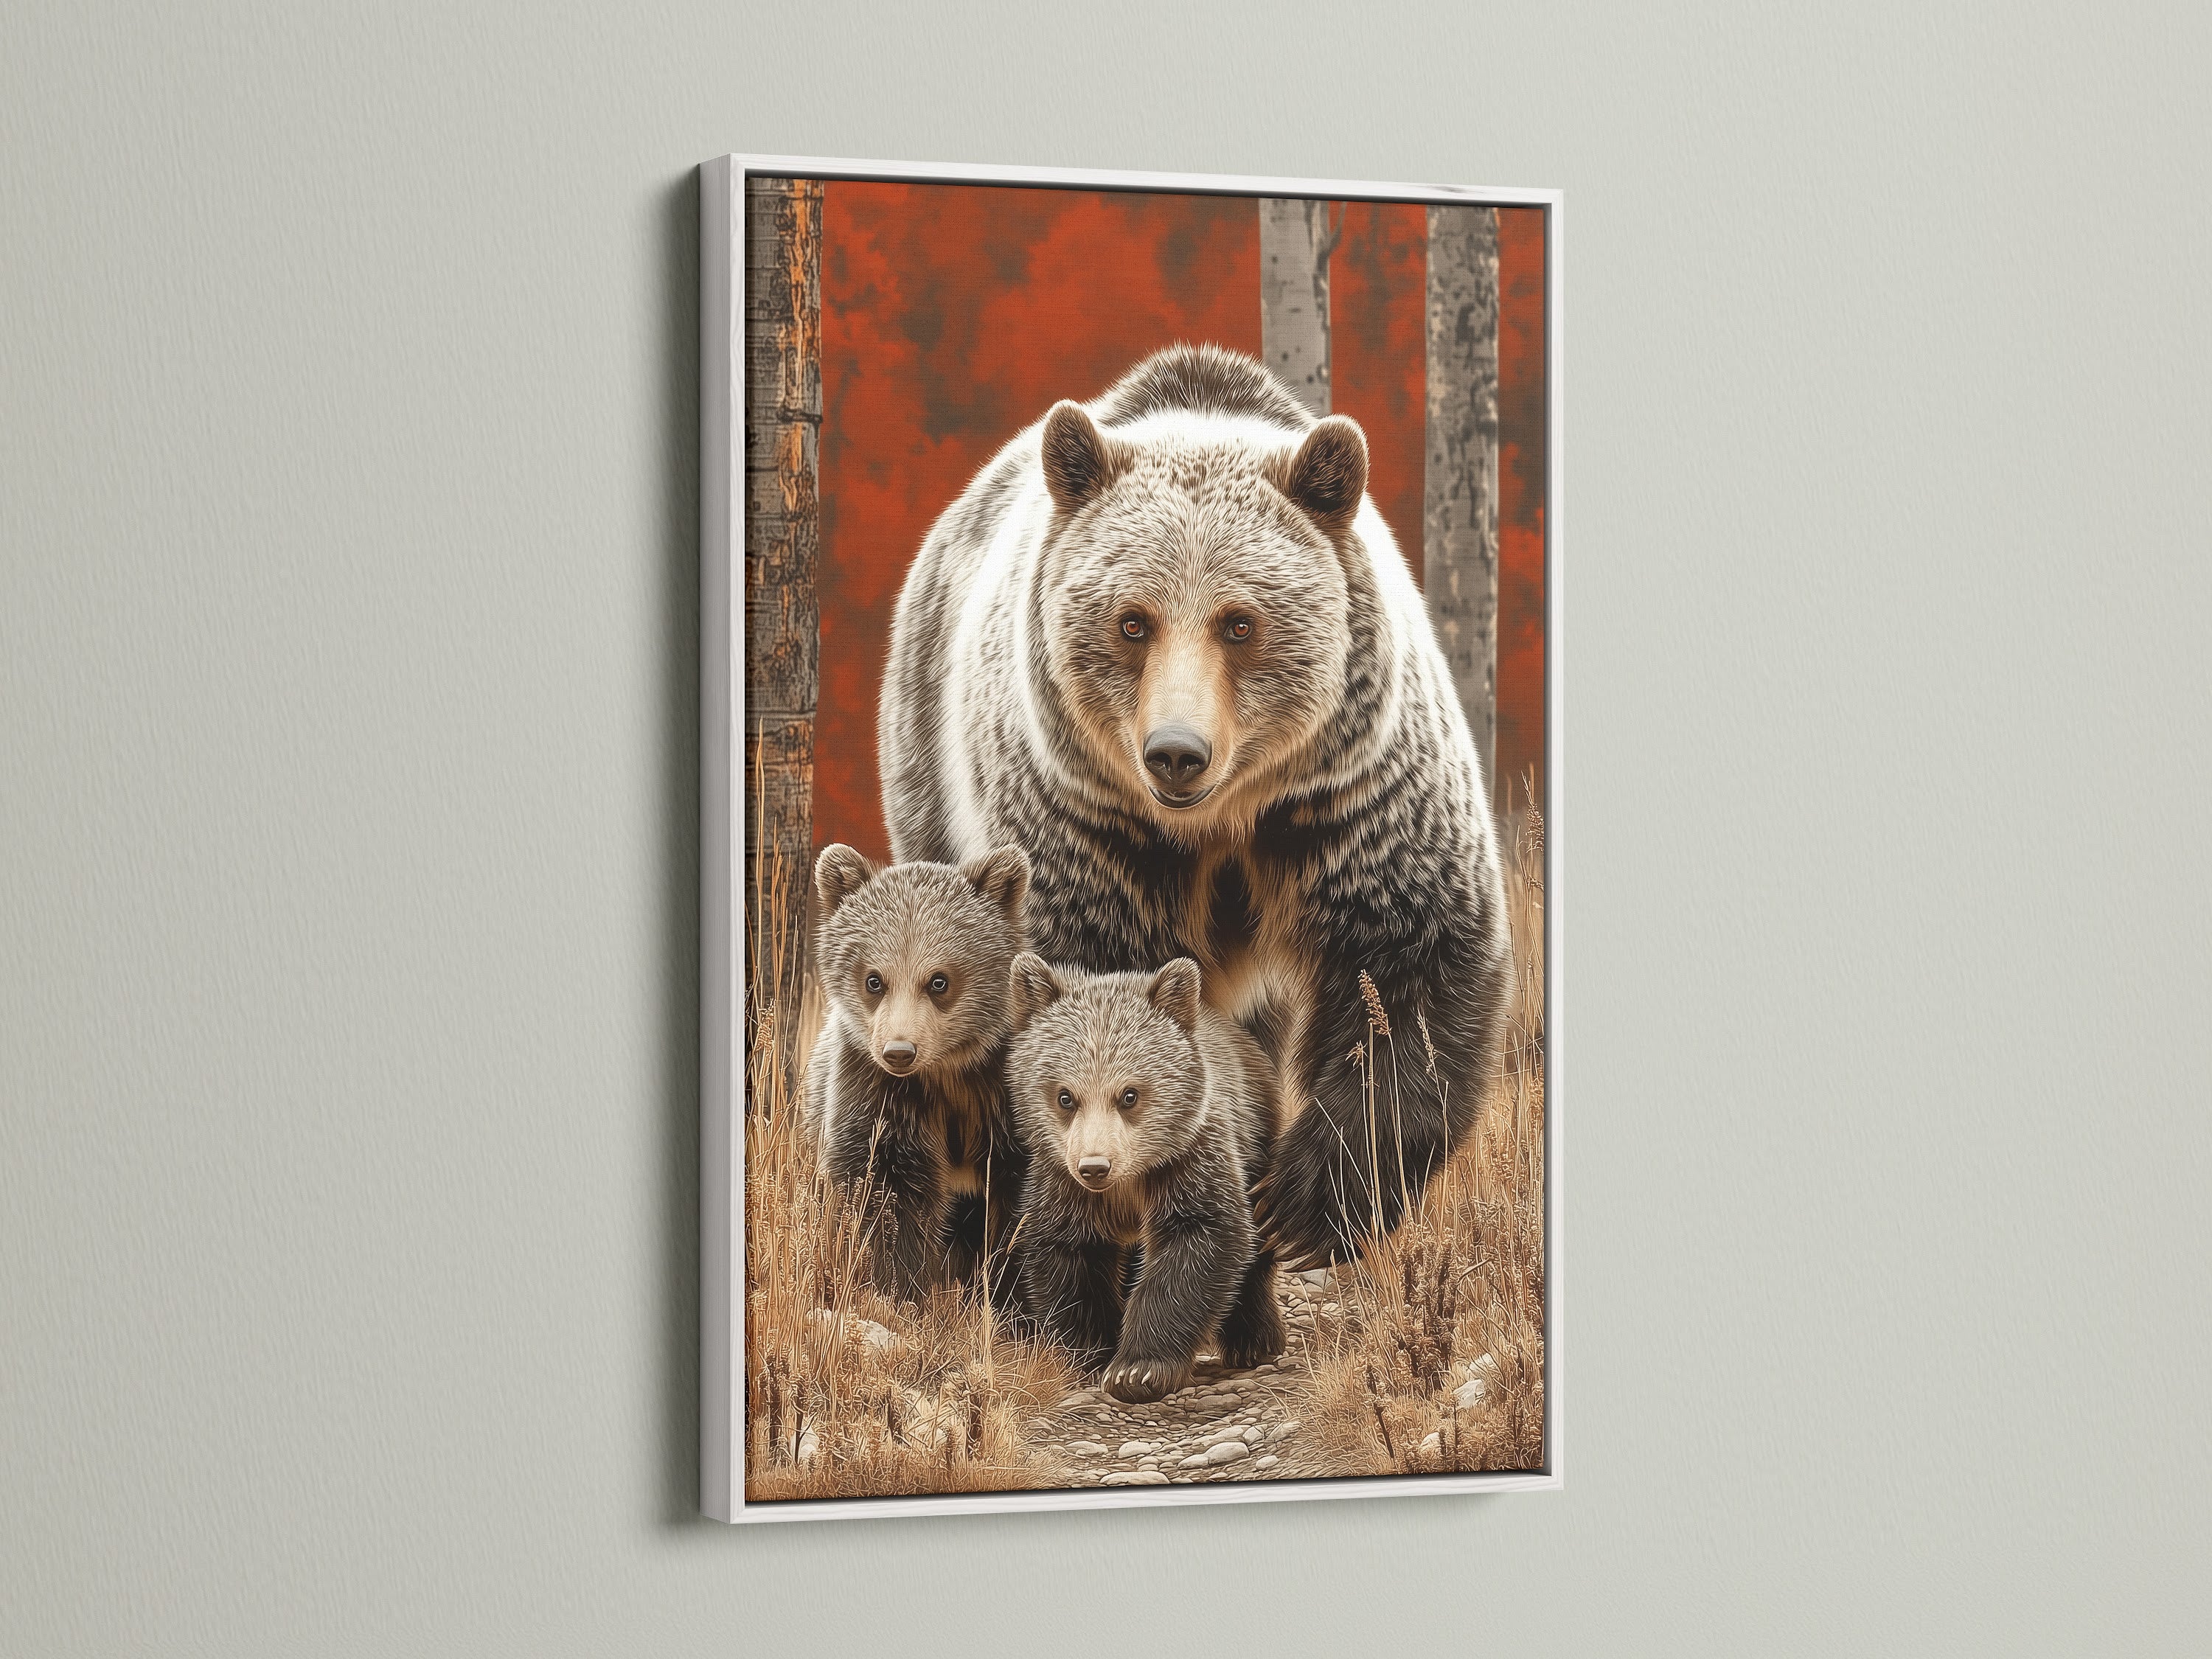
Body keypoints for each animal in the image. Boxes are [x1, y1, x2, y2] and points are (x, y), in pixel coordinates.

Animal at [804, 842, 1032, 1304]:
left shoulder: (1005, 1097)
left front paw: (1009, 1297)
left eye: (939, 981)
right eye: (874, 980)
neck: (947, 1072)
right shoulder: (877, 1093)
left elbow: (1019, 1209)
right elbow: (884, 1191)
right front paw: (900, 1288)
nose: (899, 1051)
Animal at [878, 342, 1513, 1269]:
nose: (1176, 752)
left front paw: (1302, 1206)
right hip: (930, 768)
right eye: (1132, 622)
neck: (1217, 824)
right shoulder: (1088, 823)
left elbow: (1411, 963)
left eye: (1239, 623)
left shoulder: (1351, 796)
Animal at [1004, 951, 1283, 1403]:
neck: (1129, 1184)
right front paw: (1090, 1355)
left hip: (1258, 1136)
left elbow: (1198, 1243)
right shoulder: (1062, 1184)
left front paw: (1138, 1369)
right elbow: (1069, 1258)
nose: (1095, 1166)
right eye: (1065, 1097)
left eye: (1129, 1094)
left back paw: (1253, 1339)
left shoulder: (1189, 1162)